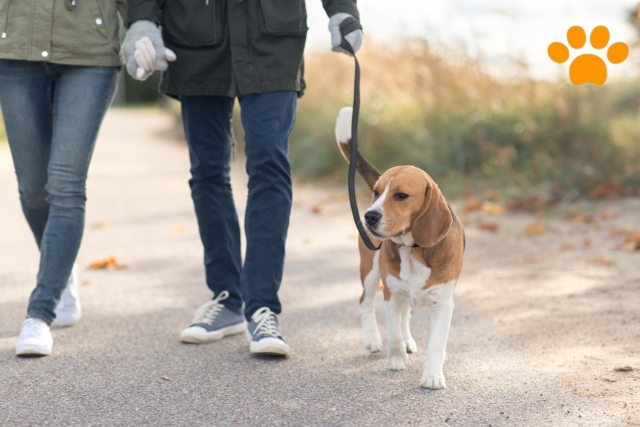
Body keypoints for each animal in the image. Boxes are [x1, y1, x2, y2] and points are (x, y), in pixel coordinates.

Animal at [336, 108, 464, 392]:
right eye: (376, 192)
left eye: (401, 195)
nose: (369, 216)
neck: (412, 249)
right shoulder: (391, 292)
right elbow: (392, 330)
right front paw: (395, 358)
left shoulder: (443, 303)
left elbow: (436, 344)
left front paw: (432, 376)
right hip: (370, 272)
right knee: (365, 302)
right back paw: (372, 338)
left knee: (405, 314)